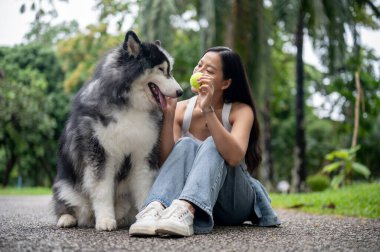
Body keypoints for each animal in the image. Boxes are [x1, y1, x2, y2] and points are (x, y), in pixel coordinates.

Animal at [52, 31, 183, 230]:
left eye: (170, 70)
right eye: (161, 69)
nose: (180, 92)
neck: (131, 106)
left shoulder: (143, 155)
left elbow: (144, 188)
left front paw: (146, 216)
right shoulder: (100, 155)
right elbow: (102, 191)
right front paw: (105, 220)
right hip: (65, 186)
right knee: (70, 205)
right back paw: (67, 218)